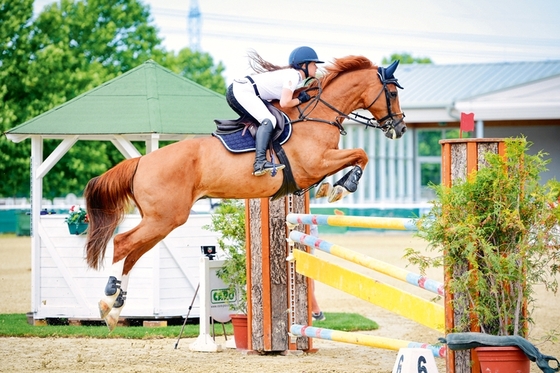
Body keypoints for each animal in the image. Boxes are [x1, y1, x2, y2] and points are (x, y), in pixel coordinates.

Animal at [84, 55, 406, 328]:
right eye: (391, 93)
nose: (400, 128)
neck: (318, 115)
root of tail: (140, 161)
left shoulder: (318, 166)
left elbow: (355, 158)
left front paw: (332, 187)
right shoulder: (314, 164)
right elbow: (361, 154)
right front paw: (342, 187)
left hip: (162, 221)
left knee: (133, 254)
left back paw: (115, 309)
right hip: (163, 218)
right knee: (123, 243)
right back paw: (108, 298)